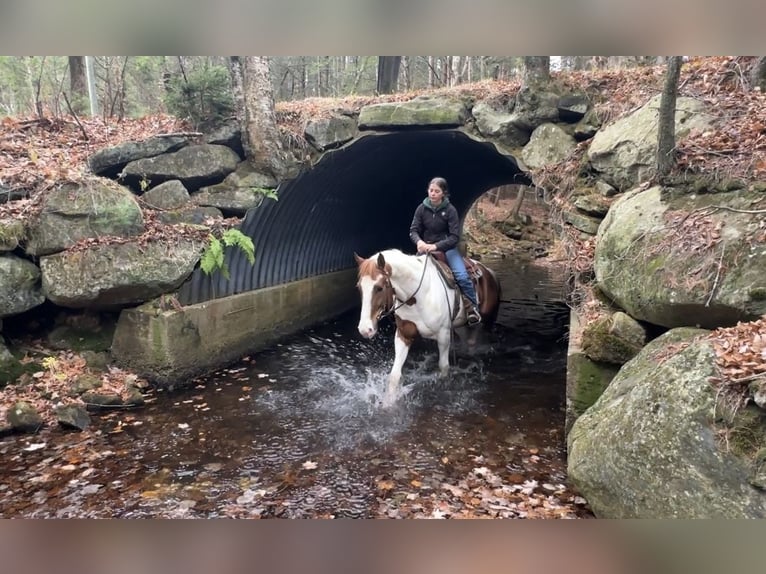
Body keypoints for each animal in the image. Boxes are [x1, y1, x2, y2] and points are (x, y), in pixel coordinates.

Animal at [356, 250, 504, 408]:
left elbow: (444, 367)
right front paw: (388, 403)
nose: (365, 329)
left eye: (379, 288)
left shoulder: (444, 335)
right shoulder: (403, 335)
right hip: (460, 326)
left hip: (485, 322)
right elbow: (394, 375)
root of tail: (489, 272)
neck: (418, 296)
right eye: (359, 287)